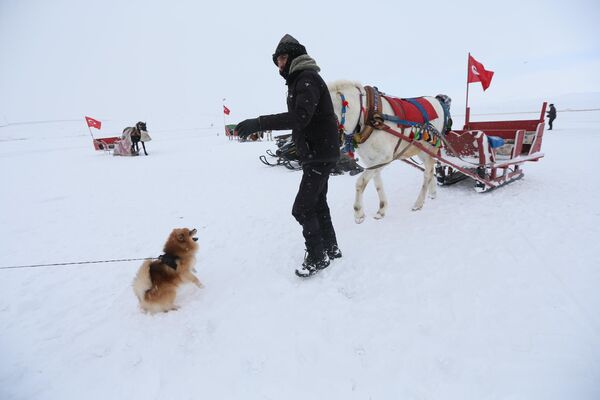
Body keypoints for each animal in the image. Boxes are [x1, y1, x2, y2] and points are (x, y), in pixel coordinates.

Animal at [328, 79, 450, 223]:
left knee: (427, 173)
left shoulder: (384, 157)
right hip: (421, 150)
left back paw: (418, 203)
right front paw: (381, 209)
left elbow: (360, 182)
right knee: (430, 171)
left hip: (429, 149)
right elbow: (377, 183)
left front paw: (358, 213)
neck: (366, 115)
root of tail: (438, 101)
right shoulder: (371, 160)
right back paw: (432, 192)